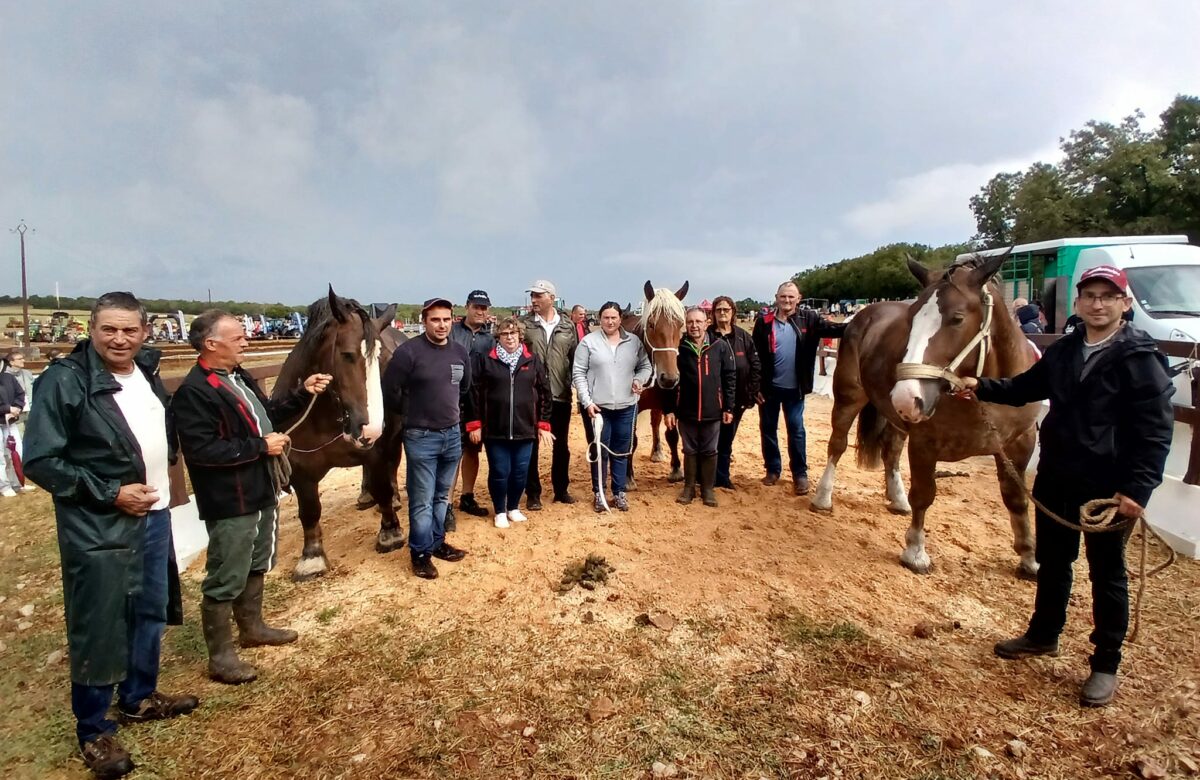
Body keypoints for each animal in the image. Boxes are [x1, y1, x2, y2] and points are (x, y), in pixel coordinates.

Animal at [272, 288, 408, 580]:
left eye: (384, 361)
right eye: (346, 355)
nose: (371, 427)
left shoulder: (377, 450)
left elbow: (383, 486)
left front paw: (390, 532)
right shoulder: (299, 467)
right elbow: (309, 510)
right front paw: (311, 557)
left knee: (391, 468)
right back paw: (366, 496)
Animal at [816, 255, 1041, 576]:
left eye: (957, 318)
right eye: (911, 321)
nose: (906, 396)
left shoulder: (1020, 443)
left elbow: (1017, 498)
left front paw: (1029, 557)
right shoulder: (924, 443)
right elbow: (923, 494)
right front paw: (915, 552)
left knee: (891, 452)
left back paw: (898, 500)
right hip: (850, 397)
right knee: (837, 445)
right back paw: (823, 497)